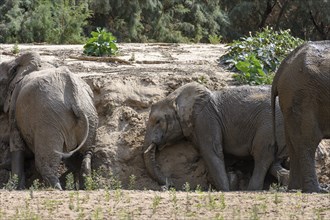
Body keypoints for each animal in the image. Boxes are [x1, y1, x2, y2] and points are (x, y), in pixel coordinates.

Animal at [0, 51, 98, 189]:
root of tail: (74, 95)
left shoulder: (14, 105)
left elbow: (17, 145)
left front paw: (17, 188)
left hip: (49, 121)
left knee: (45, 165)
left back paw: (56, 189)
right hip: (90, 116)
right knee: (85, 156)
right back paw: (85, 187)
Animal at [143, 82, 290, 191]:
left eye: (158, 121)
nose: (171, 184)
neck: (178, 98)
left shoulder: (205, 119)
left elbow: (211, 152)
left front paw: (226, 190)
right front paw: (232, 179)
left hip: (269, 126)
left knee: (261, 156)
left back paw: (253, 190)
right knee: (274, 161)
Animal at [270, 40, 330, 192]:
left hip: (292, 100)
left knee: (292, 142)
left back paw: (294, 188)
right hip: (303, 96)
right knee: (308, 140)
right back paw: (316, 190)